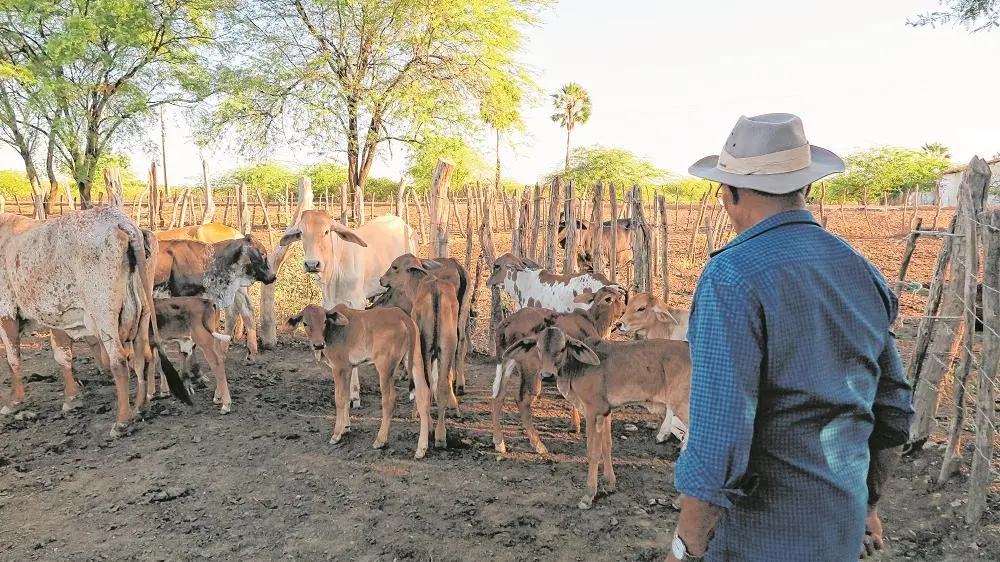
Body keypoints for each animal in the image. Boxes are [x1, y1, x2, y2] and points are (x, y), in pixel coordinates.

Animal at [0, 207, 191, 436]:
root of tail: (122, 222)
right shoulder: (57, 316)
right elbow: (62, 356)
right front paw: (72, 399)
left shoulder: (6, 311)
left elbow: (13, 359)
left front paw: (14, 402)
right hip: (143, 314)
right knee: (142, 357)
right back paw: (139, 407)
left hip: (104, 316)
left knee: (119, 361)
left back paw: (122, 420)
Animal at [285, 304, 431, 459]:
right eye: (305, 323)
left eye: (324, 321)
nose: (318, 345)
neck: (332, 331)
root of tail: (403, 317)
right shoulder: (349, 368)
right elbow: (347, 397)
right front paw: (345, 428)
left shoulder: (340, 367)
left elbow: (339, 399)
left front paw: (337, 434)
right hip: (415, 360)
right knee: (423, 395)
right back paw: (422, 447)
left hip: (385, 367)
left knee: (389, 399)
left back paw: (380, 440)